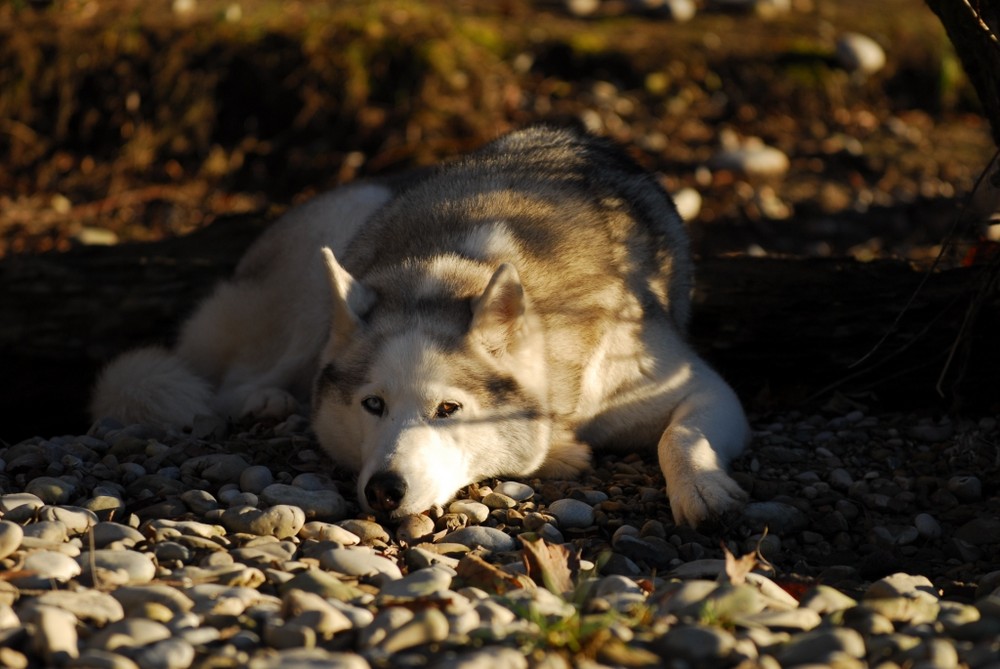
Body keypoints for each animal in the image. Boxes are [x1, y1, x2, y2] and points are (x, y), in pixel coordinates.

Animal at [94, 122, 752, 524]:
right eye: (373, 405)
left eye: (449, 410)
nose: (385, 491)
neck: (464, 260)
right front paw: (560, 453)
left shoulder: (698, 387)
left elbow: (679, 436)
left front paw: (701, 488)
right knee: (234, 380)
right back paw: (265, 401)